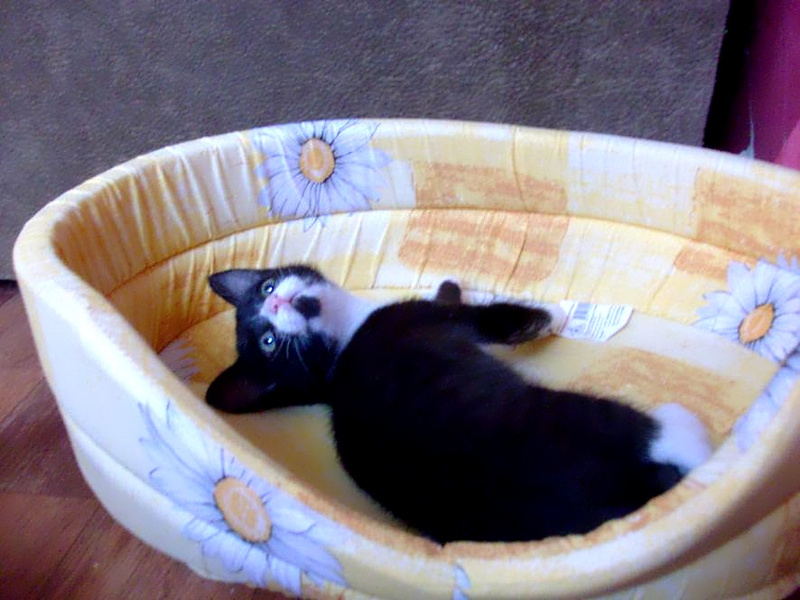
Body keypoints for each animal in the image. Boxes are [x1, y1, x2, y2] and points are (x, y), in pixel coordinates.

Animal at [206, 265, 712, 543]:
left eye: (265, 287)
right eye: (269, 342)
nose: (278, 303)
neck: (345, 334)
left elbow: (447, 294)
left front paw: (448, 281)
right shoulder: (434, 320)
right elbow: (498, 318)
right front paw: (555, 314)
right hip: (579, 420)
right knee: (665, 436)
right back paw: (687, 429)